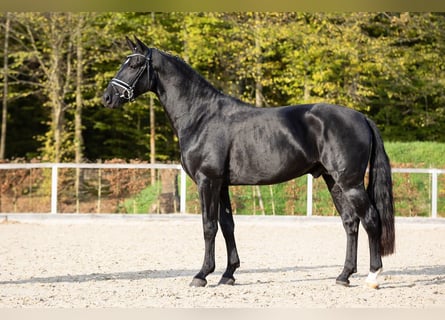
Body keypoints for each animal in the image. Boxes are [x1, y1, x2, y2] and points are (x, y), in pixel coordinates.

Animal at [102, 36, 394, 288]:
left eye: (135, 64)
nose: (107, 97)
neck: (201, 116)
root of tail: (361, 117)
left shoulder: (207, 181)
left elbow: (209, 226)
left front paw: (202, 274)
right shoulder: (221, 185)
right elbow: (227, 225)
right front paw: (228, 274)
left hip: (350, 182)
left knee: (370, 218)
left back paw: (373, 276)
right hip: (333, 180)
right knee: (350, 222)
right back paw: (344, 275)